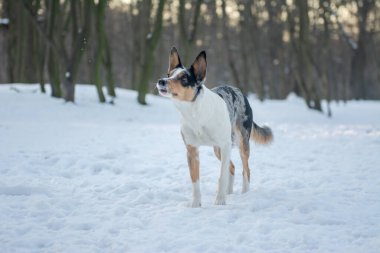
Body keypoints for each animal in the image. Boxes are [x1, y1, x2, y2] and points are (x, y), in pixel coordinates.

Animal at [157, 47, 274, 208]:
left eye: (184, 79)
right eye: (169, 75)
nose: (161, 81)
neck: (195, 113)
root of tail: (239, 91)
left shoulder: (225, 146)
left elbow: (222, 176)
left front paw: (220, 201)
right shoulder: (192, 150)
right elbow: (195, 180)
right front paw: (196, 204)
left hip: (241, 144)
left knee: (245, 169)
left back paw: (244, 193)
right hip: (218, 149)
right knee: (232, 167)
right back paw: (229, 192)